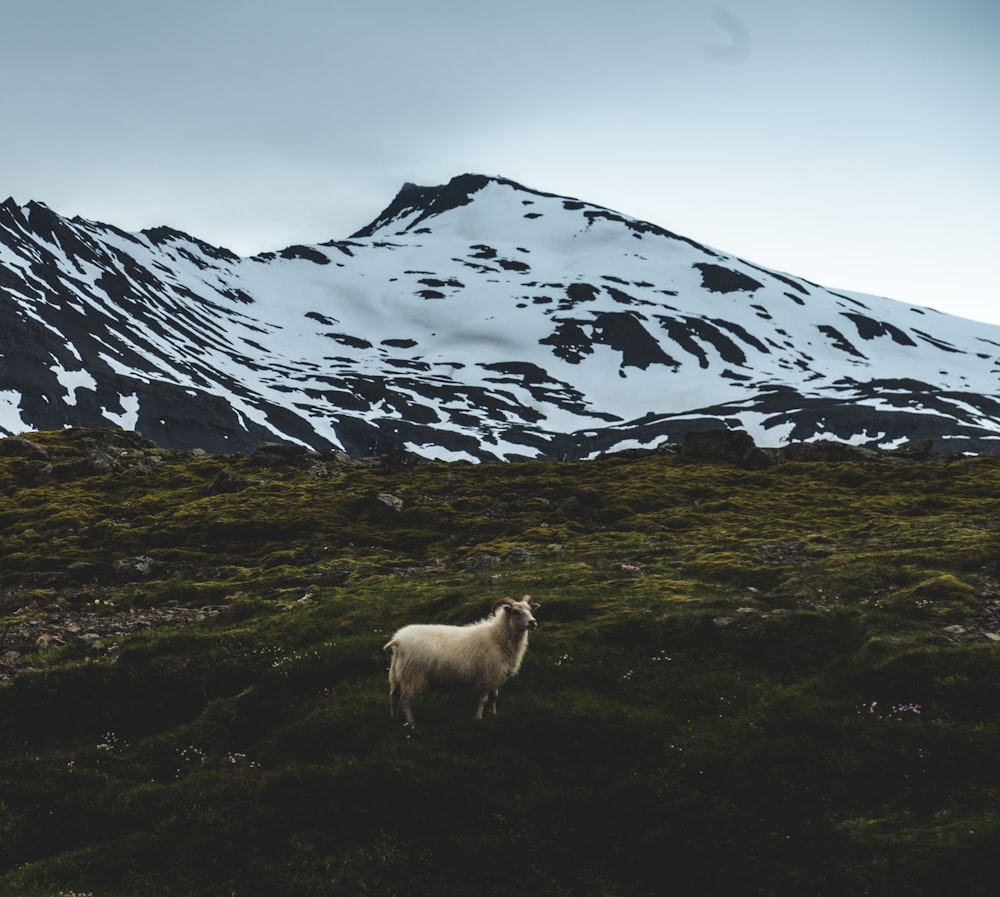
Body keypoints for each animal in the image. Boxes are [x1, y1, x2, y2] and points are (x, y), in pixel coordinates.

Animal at [382, 592, 540, 724]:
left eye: (530, 610)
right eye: (515, 611)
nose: (533, 622)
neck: (497, 637)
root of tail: (398, 640)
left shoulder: (495, 676)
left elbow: (494, 697)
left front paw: (493, 714)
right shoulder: (486, 676)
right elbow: (483, 700)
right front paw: (478, 718)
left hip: (397, 675)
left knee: (393, 696)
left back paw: (393, 719)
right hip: (413, 676)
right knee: (405, 700)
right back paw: (411, 723)